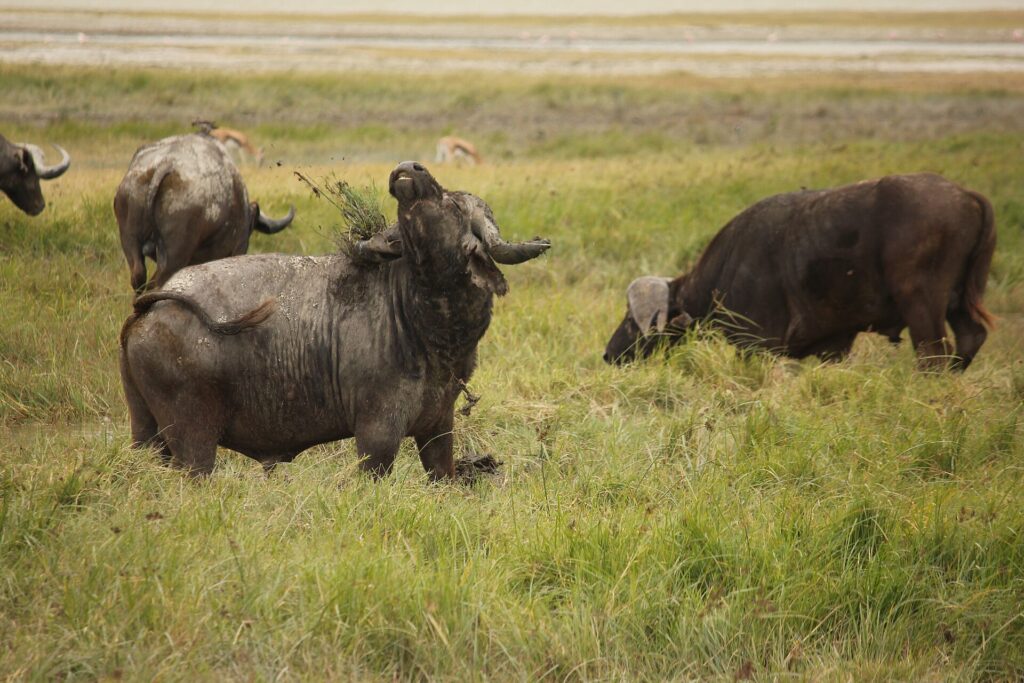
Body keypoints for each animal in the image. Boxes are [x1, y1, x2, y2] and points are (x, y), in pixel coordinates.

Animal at [114, 133, 295, 293]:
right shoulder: (237, 247)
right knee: (159, 282)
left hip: (129, 238)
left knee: (139, 276)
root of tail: (164, 165)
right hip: (176, 251)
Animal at [119, 161, 550, 478]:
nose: (410, 169)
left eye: (456, 207)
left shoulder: (439, 429)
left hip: (147, 432)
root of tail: (152, 306)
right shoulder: (378, 434)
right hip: (193, 442)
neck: (423, 326)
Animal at [604, 173, 995, 370]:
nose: (610, 354)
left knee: (933, 356)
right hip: (958, 302)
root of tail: (968, 194)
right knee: (971, 337)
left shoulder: (757, 346)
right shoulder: (832, 346)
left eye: (631, 321)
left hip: (922, 304)